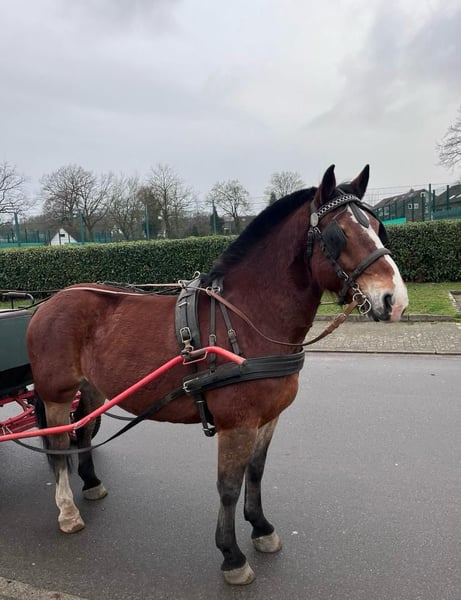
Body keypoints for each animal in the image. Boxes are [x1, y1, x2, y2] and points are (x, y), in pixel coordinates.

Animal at [26, 165, 408, 585]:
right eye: (339, 234)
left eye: (378, 226)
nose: (394, 300)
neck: (247, 319)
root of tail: (52, 301)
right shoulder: (236, 423)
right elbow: (228, 486)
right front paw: (232, 556)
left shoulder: (267, 418)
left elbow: (255, 473)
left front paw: (261, 528)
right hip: (56, 393)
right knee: (59, 443)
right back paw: (67, 509)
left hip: (92, 388)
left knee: (82, 430)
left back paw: (91, 483)